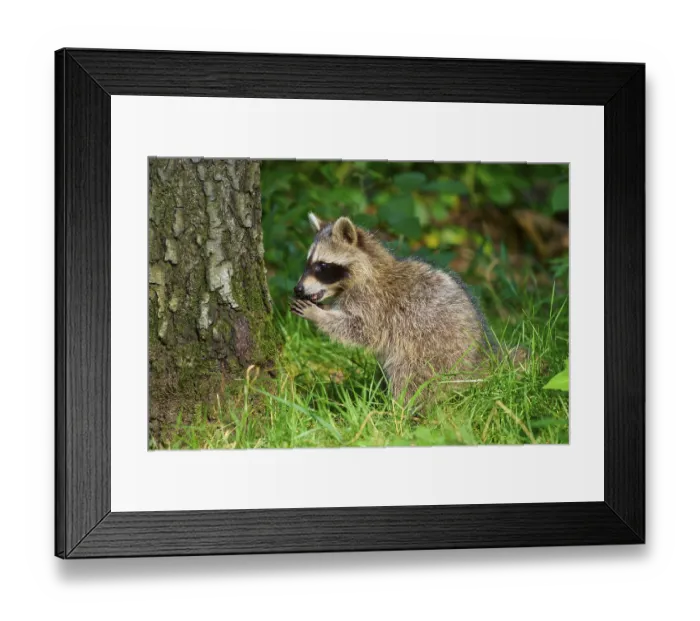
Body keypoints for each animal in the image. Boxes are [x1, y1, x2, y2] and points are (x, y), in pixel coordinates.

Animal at [290, 213, 526, 401]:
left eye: (322, 266)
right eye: (307, 263)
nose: (298, 289)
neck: (368, 271)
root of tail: (479, 359)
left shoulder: (375, 303)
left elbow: (362, 330)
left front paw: (318, 314)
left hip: (433, 353)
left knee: (409, 377)